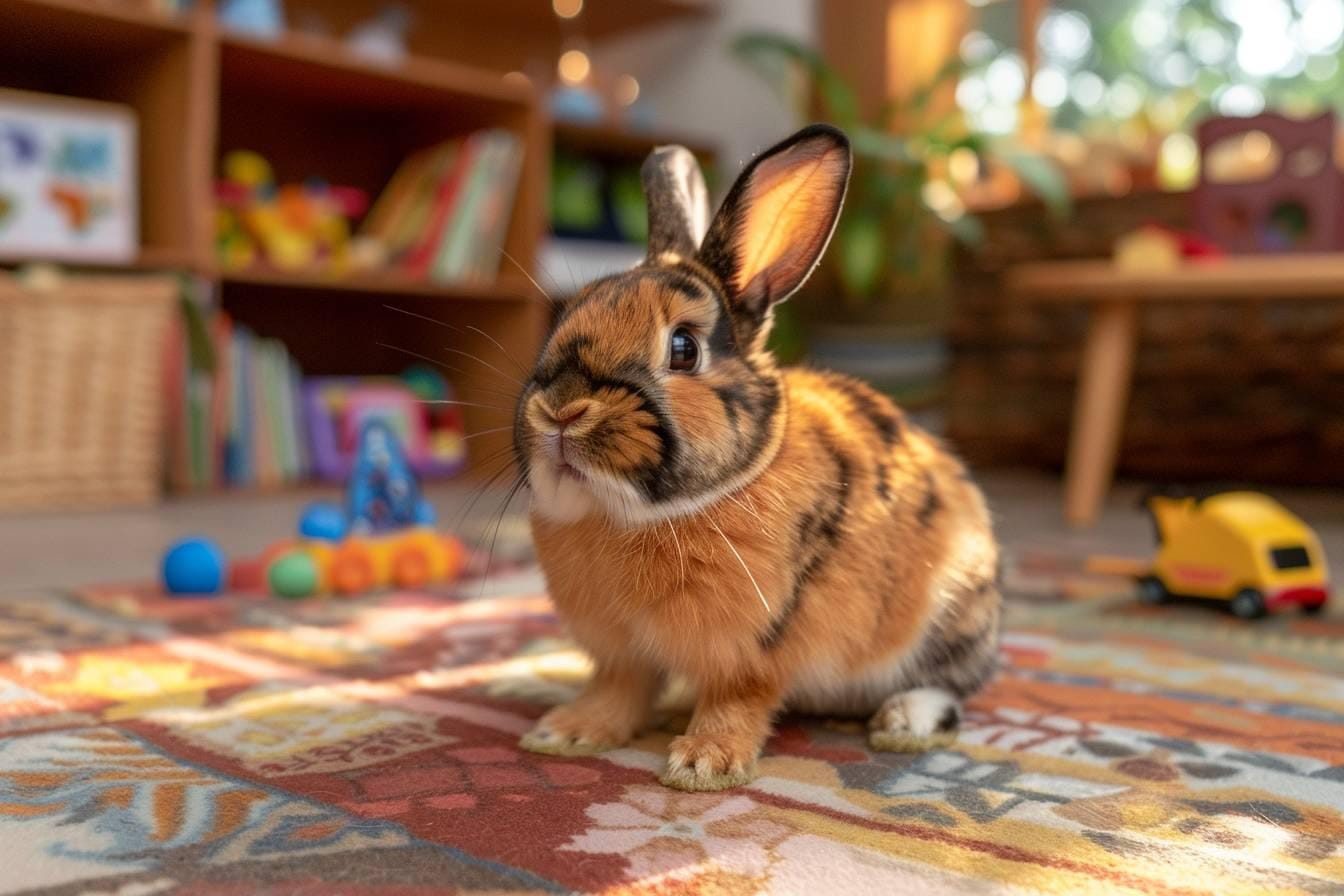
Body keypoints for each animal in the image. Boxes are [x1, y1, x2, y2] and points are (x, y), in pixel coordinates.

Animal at [513, 124, 1001, 791]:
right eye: (567, 314)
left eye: (684, 349)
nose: (561, 411)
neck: (628, 515)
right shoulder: (621, 652)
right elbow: (620, 691)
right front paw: (565, 733)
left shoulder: (750, 651)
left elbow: (736, 701)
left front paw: (703, 764)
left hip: (950, 614)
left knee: (951, 688)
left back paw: (902, 721)